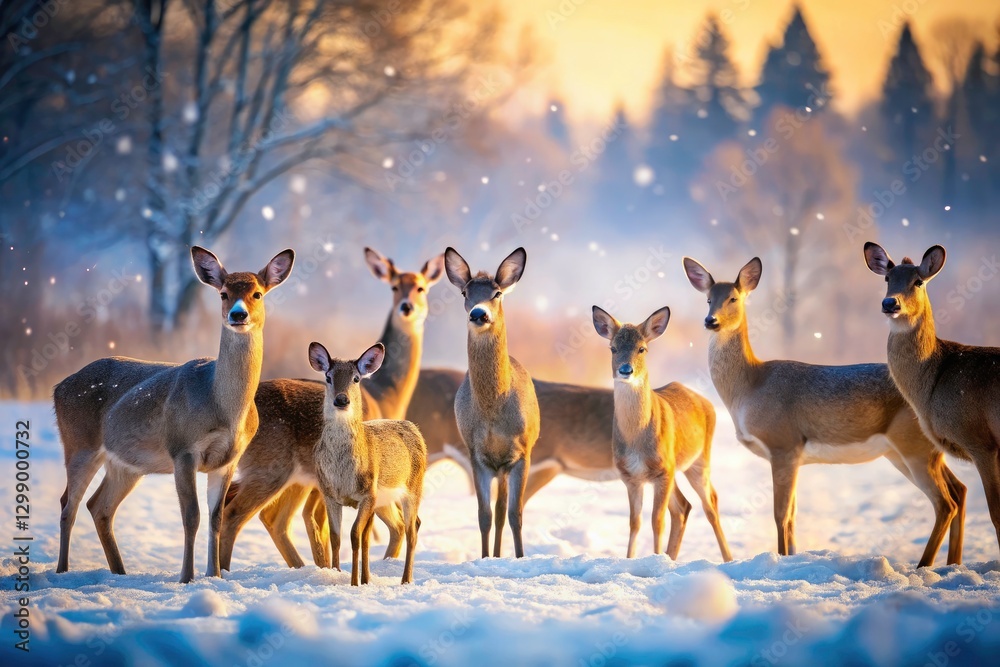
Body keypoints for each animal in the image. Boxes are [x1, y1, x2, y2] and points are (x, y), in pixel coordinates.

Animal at [53, 246, 294, 583]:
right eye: (223, 293)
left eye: (257, 294)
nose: (238, 315)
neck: (223, 408)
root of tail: (59, 387)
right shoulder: (183, 448)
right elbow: (191, 515)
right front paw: (186, 577)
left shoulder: (229, 459)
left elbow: (216, 518)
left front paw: (215, 575)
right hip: (79, 443)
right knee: (68, 505)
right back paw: (62, 571)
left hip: (126, 463)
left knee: (98, 506)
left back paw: (119, 573)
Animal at [308, 341, 426, 585]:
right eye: (328, 377)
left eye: (356, 378)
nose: (341, 400)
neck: (342, 474)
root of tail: (414, 427)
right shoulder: (329, 494)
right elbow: (336, 537)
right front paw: (337, 574)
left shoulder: (367, 494)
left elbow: (354, 534)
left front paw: (354, 581)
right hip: (384, 501)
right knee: (404, 524)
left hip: (413, 488)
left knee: (411, 529)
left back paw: (406, 579)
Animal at [444, 246, 540, 558]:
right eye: (465, 292)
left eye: (497, 293)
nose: (478, 313)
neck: (492, 410)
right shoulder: (476, 454)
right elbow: (484, 515)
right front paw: (485, 558)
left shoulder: (522, 452)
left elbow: (516, 514)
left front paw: (521, 558)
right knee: (496, 512)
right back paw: (496, 555)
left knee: (505, 511)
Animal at [592, 306, 732, 561]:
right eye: (613, 348)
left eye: (642, 348)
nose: (625, 370)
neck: (637, 440)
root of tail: (705, 401)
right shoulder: (630, 476)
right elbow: (635, 522)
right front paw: (631, 559)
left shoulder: (662, 471)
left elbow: (657, 521)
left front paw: (656, 559)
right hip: (675, 469)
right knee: (683, 507)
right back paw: (673, 556)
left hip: (698, 461)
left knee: (710, 502)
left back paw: (728, 558)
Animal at [682, 255, 966, 567]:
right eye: (708, 299)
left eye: (733, 298)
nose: (711, 321)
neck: (750, 386)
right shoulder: (795, 457)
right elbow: (792, 517)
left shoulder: (783, 444)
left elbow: (780, 515)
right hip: (912, 452)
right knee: (960, 490)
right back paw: (952, 564)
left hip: (914, 447)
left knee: (945, 503)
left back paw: (924, 565)